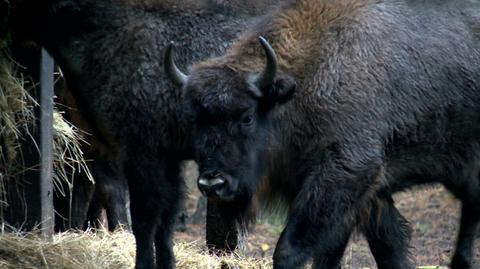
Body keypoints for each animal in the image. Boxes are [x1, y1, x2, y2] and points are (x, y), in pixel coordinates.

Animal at [165, 0, 480, 268]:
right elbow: (383, 245)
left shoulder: (344, 176)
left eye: (247, 116)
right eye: (196, 119)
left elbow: (291, 248)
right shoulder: (368, 194)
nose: (212, 183)